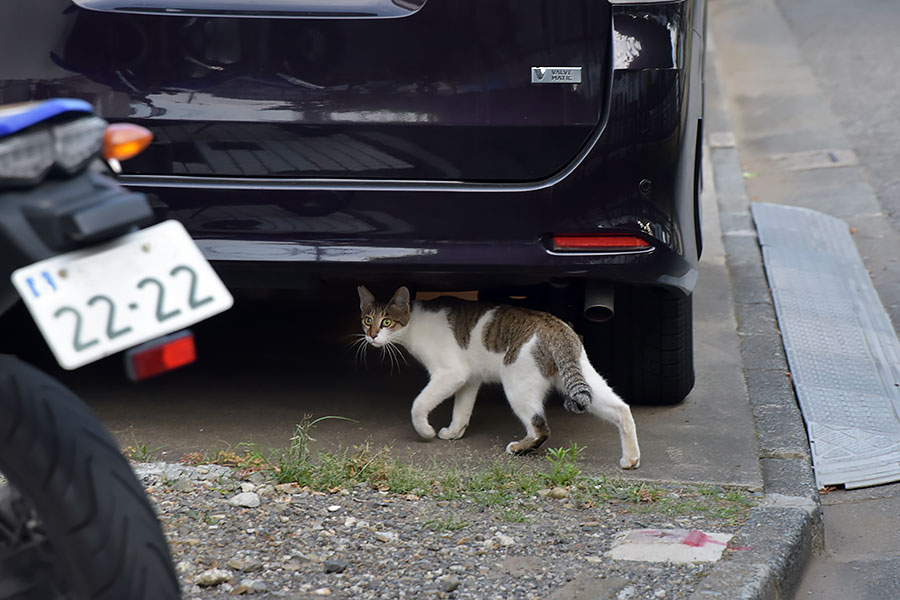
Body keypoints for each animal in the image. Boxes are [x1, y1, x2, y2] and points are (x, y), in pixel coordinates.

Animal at [356, 286, 640, 468]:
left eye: (386, 322)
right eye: (367, 320)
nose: (372, 336)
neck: (414, 323)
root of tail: (556, 326)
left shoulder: (450, 373)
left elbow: (418, 404)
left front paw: (426, 431)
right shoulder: (469, 378)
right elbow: (462, 410)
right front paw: (454, 432)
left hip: (516, 384)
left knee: (540, 426)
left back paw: (519, 447)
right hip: (584, 379)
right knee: (621, 409)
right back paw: (631, 459)